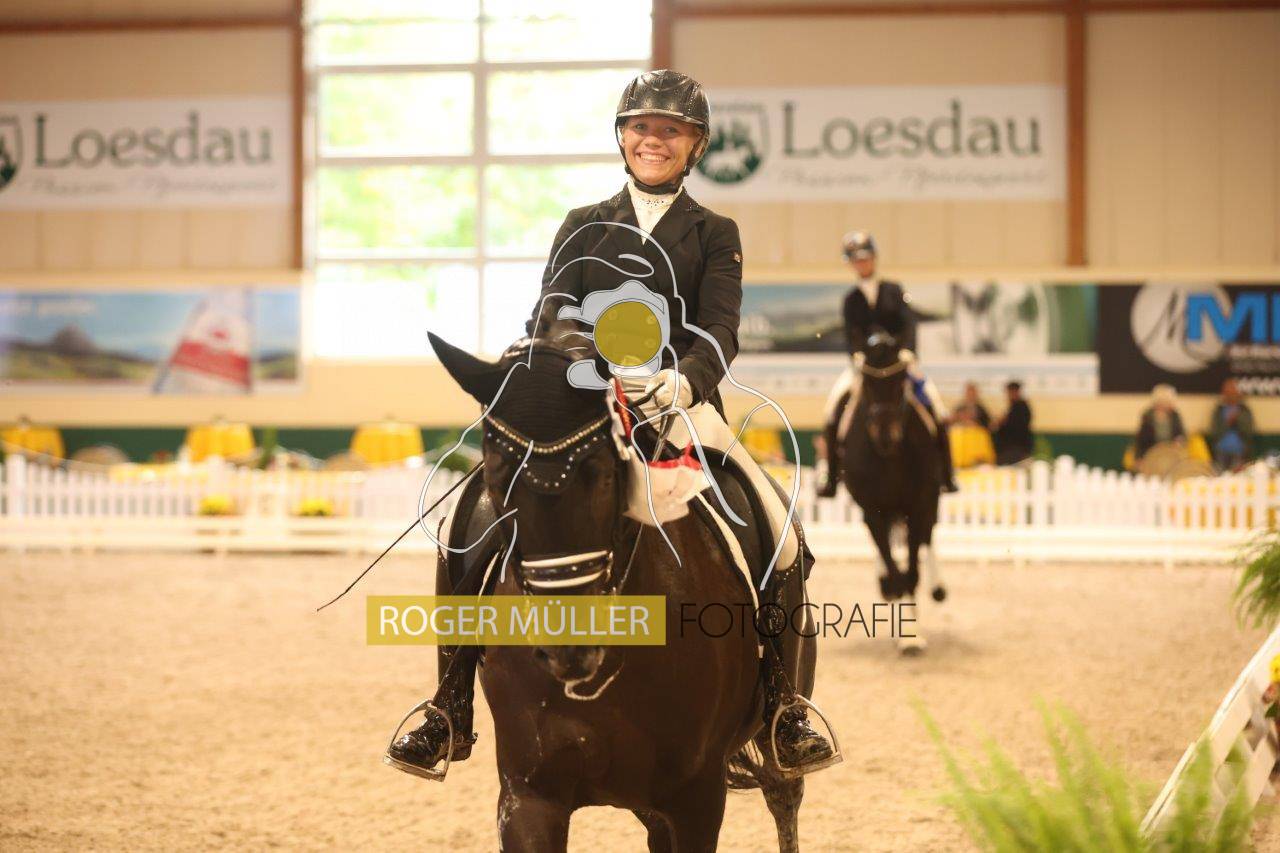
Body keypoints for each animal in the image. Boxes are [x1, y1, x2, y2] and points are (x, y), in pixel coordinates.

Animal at [840, 333, 946, 652]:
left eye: (901, 382)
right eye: (867, 383)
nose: (887, 436)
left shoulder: (917, 506)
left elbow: (911, 569)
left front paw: (911, 635)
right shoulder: (872, 509)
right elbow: (890, 559)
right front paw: (901, 613)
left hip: (929, 502)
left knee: (927, 537)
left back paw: (938, 589)